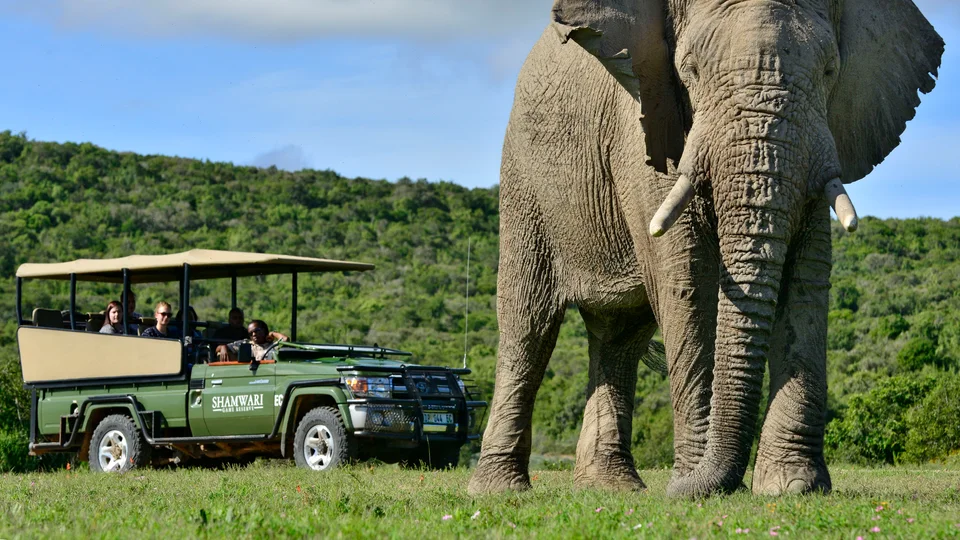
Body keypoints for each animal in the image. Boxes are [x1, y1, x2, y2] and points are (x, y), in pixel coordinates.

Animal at [468, 0, 942, 498]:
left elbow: (807, 279)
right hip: (524, 180)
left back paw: (612, 488)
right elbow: (689, 281)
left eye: (830, 70)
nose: (684, 489)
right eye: (690, 71)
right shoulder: (647, 125)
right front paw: (694, 484)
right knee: (528, 325)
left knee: (619, 335)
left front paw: (792, 487)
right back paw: (500, 490)